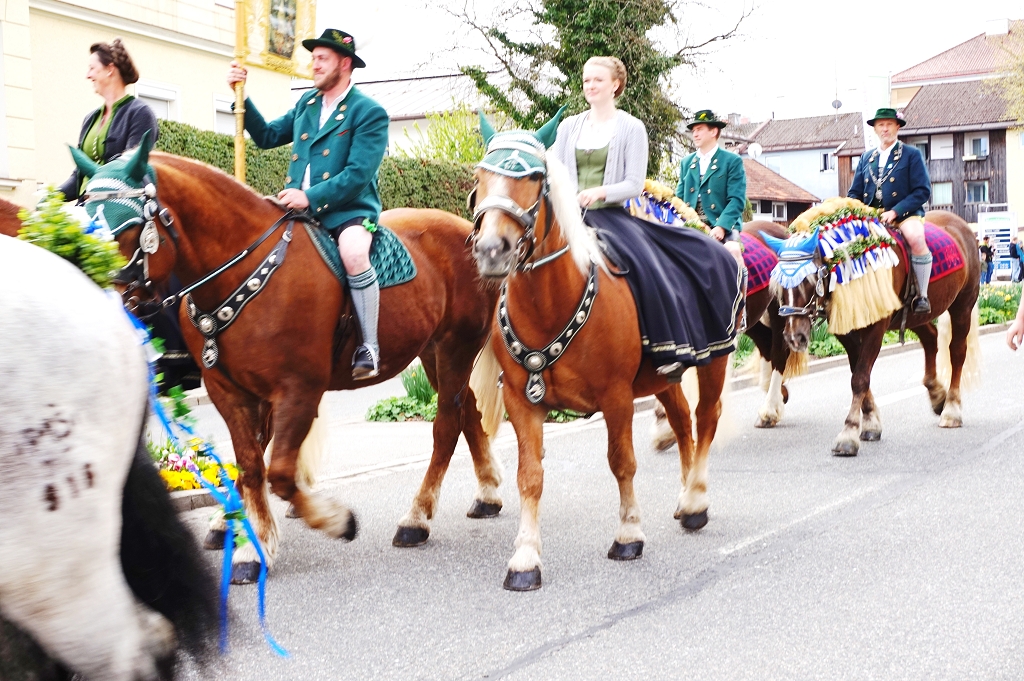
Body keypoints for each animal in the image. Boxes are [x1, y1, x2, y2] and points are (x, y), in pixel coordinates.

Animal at [69, 135, 505, 584]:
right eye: (85, 221)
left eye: (129, 227)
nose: (99, 304)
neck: (243, 269)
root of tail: (466, 230)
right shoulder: (230, 390)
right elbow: (249, 464)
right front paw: (246, 538)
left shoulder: (298, 389)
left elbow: (277, 471)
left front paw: (326, 521)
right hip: (434, 353)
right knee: (467, 412)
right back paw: (487, 495)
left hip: (456, 349)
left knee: (446, 426)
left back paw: (416, 518)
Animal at [468, 117, 732, 591]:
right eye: (480, 177)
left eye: (534, 178)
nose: (492, 250)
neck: (549, 303)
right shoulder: (521, 402)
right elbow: (529, 477)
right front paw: (525, 558)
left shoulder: (616, 397)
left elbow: (621, 462)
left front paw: (628, 535)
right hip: (663, 377)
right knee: (682, 421)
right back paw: (685, 496)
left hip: (713, 361)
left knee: (705, 418)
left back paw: (696, 500)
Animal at [763, 204, 980, 456]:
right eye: (779, 284)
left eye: (809, 280)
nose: (794, 337)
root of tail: (962, 226)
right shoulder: (847, 332)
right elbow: (857, 371)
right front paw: (870, 423)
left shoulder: (877, 327)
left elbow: (859, 378)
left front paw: (848, 434)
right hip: (916, 316)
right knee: (930, 339)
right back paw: (936, 394)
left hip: (963, 306)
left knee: (957, 352)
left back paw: (952, 409)